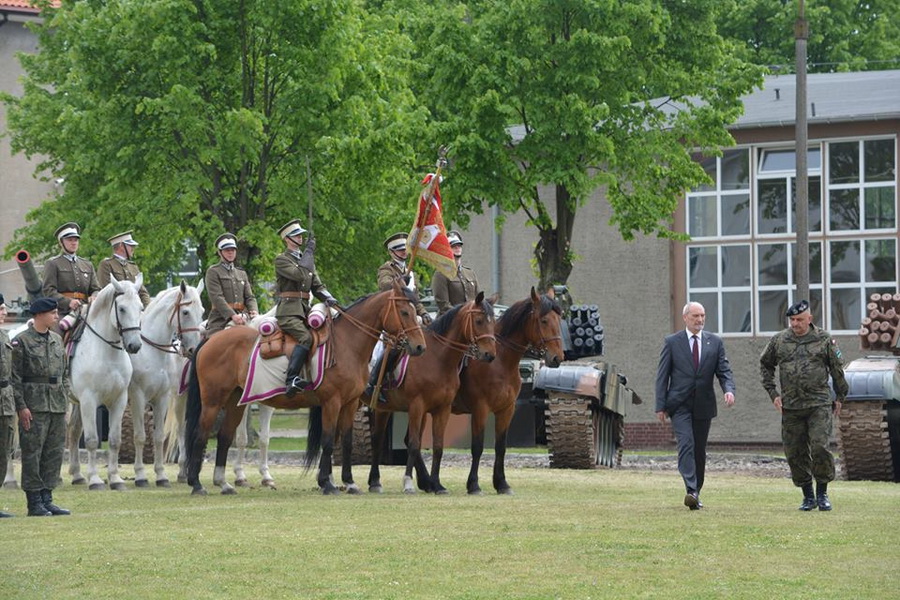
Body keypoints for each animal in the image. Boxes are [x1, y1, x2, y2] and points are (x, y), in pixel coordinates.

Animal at [67, 276, 144, 492]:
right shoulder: (88, 400)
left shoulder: (119, 400)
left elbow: (115, 440)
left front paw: (115, 479)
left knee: (73, 431)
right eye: (122, 309)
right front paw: (95, 479)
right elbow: (92, 440)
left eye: (141, 308)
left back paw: (77, 475)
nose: (135, 345)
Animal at [127, 282, 203, 488]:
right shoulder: (138, 398)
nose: (193, 349)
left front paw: (161, 475)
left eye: (202, 311)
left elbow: (160, 437)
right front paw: (140, 475)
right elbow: (140, 436)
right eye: (185, 312)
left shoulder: (162, 398)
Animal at [185, 284, 428, 494]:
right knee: (199, 435)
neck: (347, 344)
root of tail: (211, 339)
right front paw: (327, 484)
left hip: (235, 401)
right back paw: (197, 484)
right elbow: (328, 441)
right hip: (213, 402)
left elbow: (346, 442)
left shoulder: (350, 404)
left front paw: (349, 482)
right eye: (404, 312)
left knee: (225, 437)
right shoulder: (332, 402)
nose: (419, 347)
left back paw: (223, 483)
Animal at [362, 290, 496, 492]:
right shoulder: (417, 406)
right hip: (378, 407)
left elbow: (438, 446)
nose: (490, 354)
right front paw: (408, 482)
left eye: (493, 321)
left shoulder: (442, 409)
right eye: (479, 321)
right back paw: (374, 481)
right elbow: (414, 443)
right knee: (376, 439)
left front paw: (437, 484)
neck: (438, 358)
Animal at [458, 288, 564, 494]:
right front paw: (473, 484)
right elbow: (478, 446)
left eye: (559, 319)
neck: (499, 362)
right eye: (544, 320)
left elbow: (501, 447)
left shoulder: (506, 410)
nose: (558, 358)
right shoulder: (480, 409)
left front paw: (501, 483)